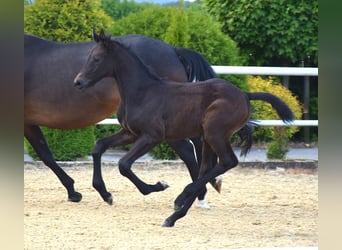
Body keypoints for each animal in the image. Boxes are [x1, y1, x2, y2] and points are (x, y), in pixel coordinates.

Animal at [24, 32, 231, 205]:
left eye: (97, 59)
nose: (78, 82)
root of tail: (173, 50)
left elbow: (47, 156)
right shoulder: (28, 122)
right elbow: (48, 155)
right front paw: (79, 192)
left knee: (189, 148)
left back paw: (199, 193)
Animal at [73, 30, 292, 227]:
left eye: (96, 58)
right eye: (89, 56)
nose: (78, 82)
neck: (142, 92)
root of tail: (245, 95)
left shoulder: (152, 136)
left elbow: (124, 164)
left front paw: (157, 186)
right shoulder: (130, 133)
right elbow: (99, 146)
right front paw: (106, 194)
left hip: (215, 134)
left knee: (227, 161)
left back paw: (181, 197)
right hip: (208, 138)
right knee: (206, 169)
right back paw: (173, 217)